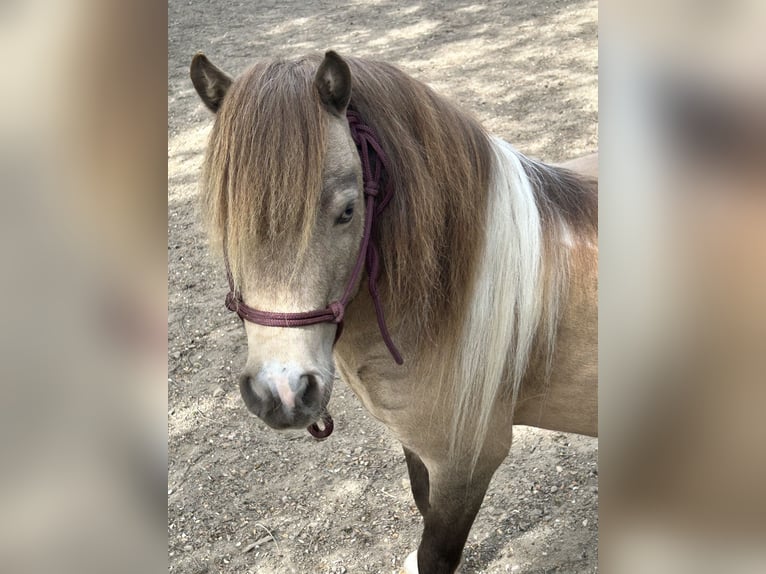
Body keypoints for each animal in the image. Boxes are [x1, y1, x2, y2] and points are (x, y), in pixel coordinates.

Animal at [190, 50, 597, 574]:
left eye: (347, 211)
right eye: (228, 218)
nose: (281, 391)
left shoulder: (467, 463)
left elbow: (437, 552)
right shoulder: (420, 449)